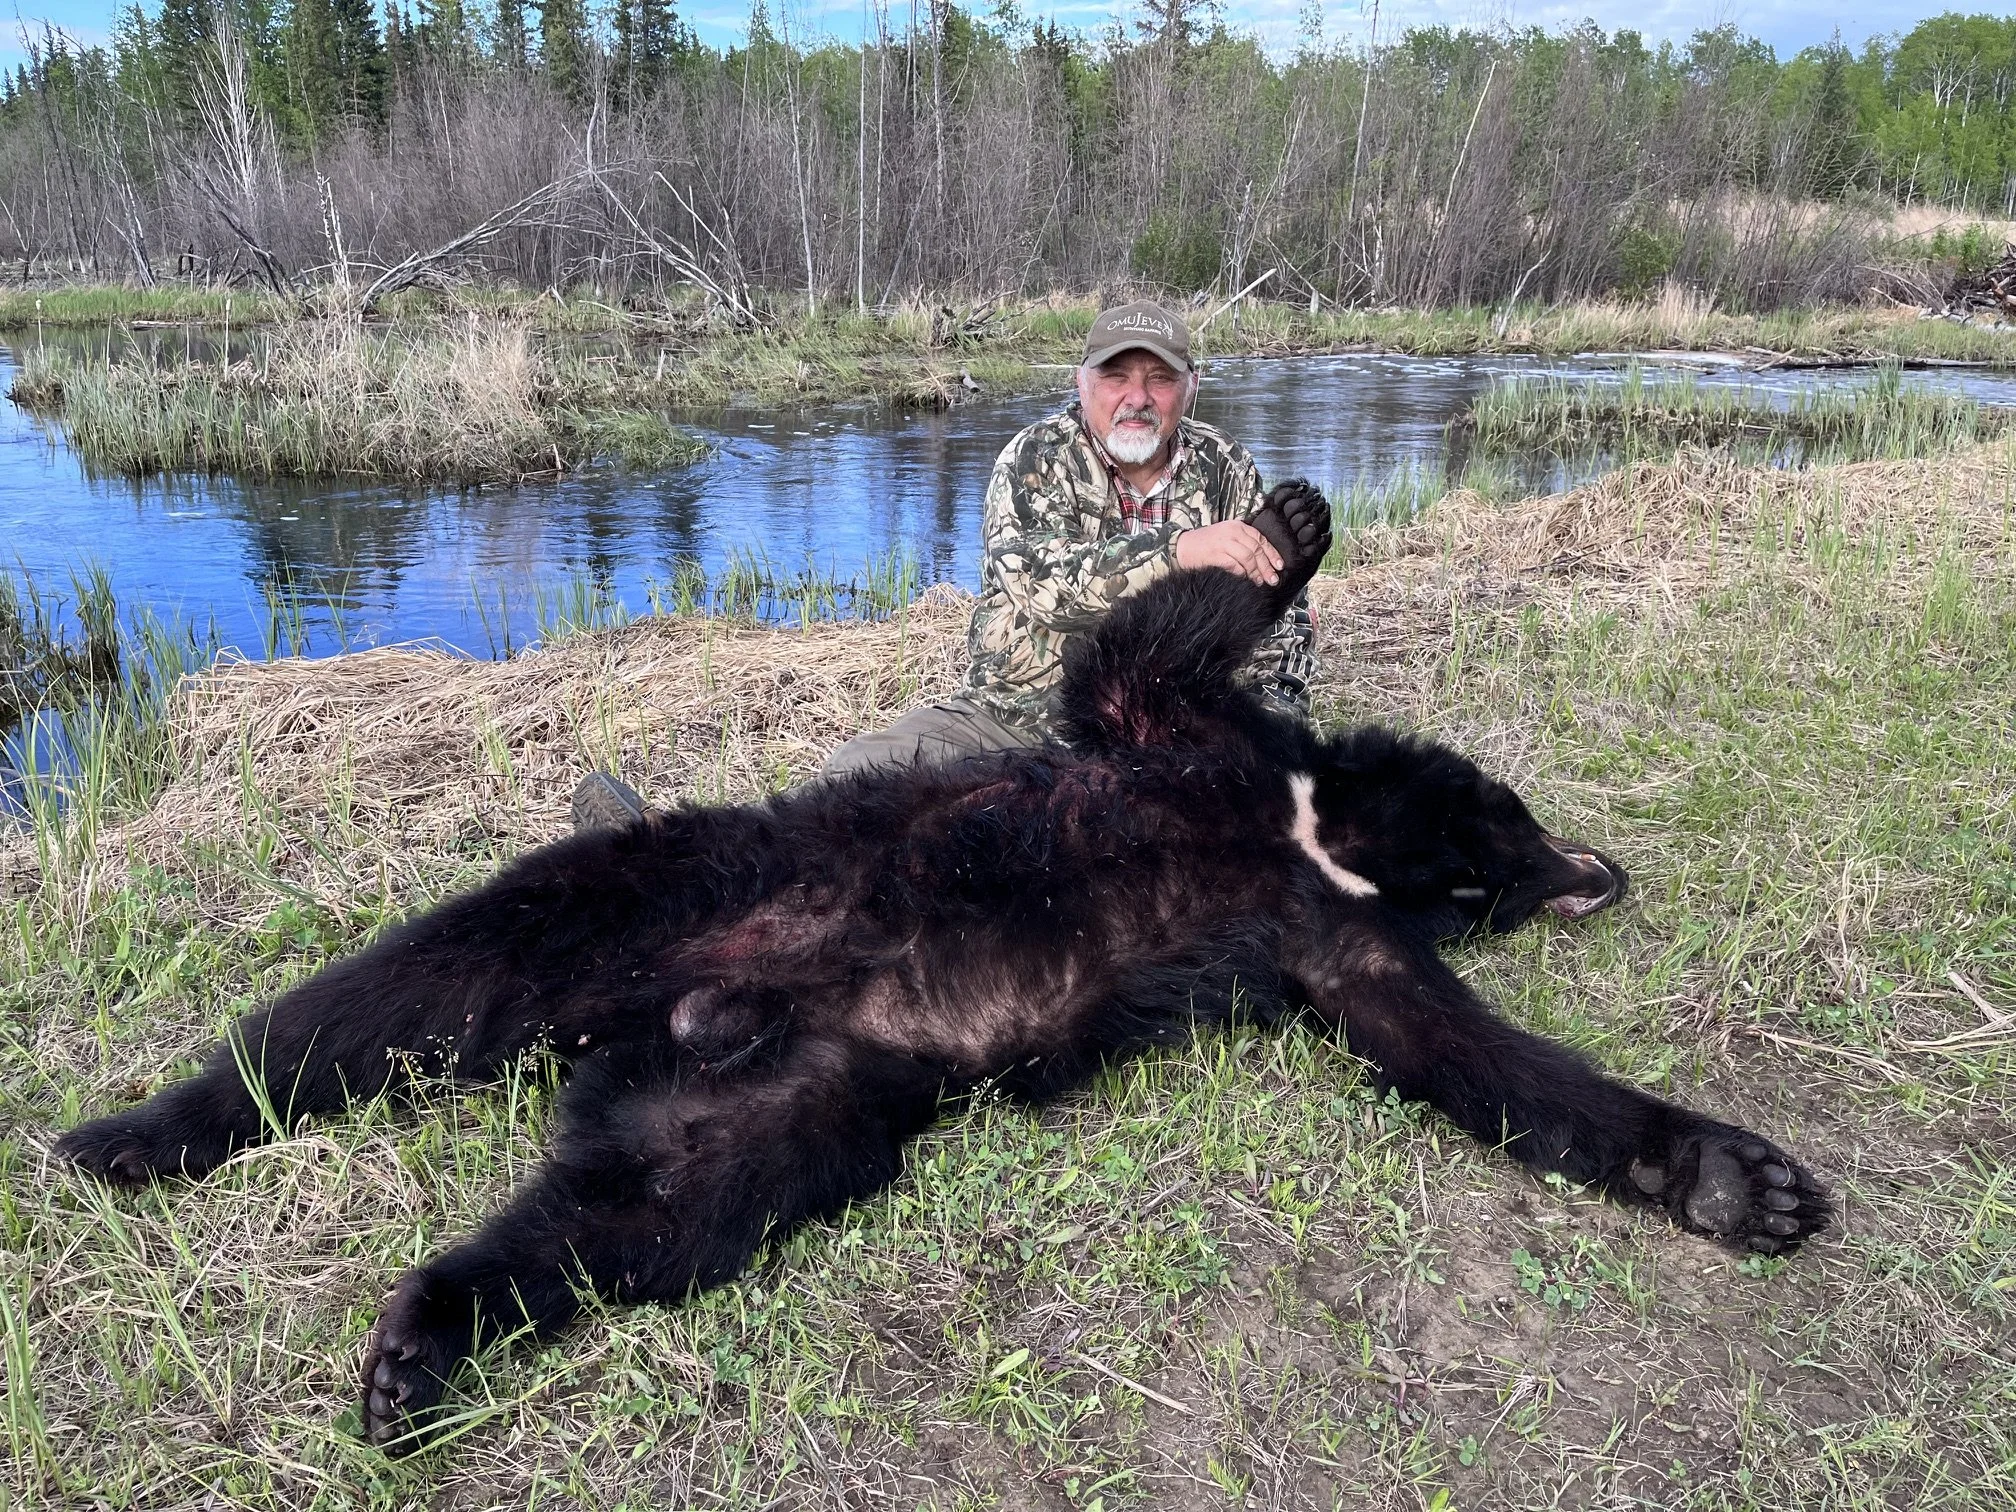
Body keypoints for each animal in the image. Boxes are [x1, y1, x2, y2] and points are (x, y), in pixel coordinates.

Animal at [53, 480, 1829, 1451]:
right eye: (1514, 828)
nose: (1599, 871)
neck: (1317, 831)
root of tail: (687, 1008)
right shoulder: (1182, 750)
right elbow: (1127, 652)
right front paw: (1282, 530)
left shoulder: (1337, 944)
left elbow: (1458, 1051)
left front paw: (1726, 1176)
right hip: (648, 893)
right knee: (396, 994)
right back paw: (137, 1134)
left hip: (783, 1115)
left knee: (616, 1227)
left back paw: (420, 1348)